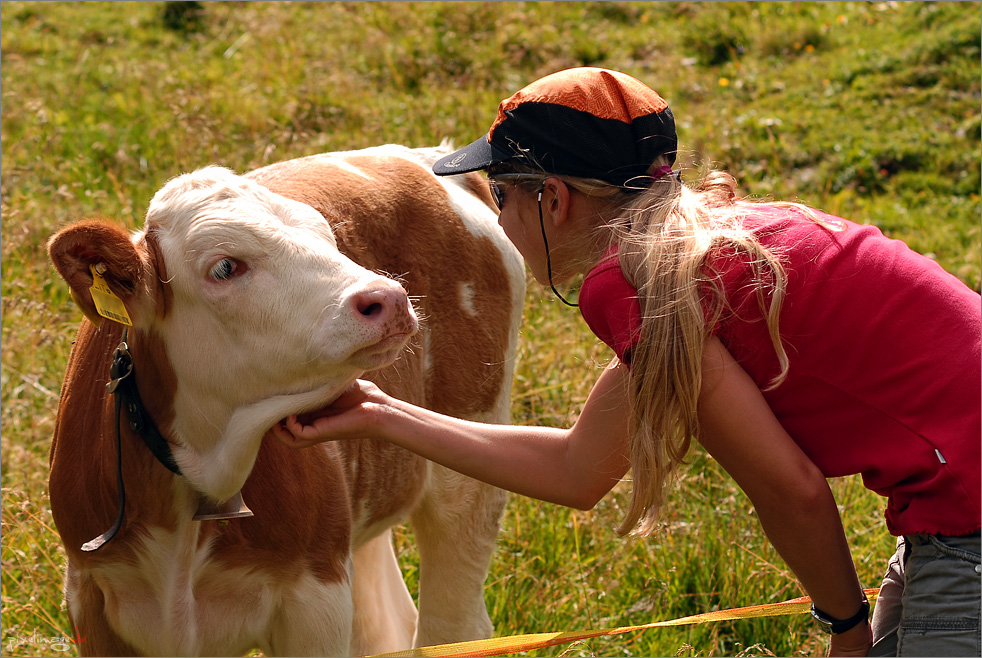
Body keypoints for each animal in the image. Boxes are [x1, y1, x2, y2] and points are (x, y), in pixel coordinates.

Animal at [46, 146, 528, 652]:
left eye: (328, 239)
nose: (390, 297)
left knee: (452, 625)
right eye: (225, 266)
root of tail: (418, 156)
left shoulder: (315, 597)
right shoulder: (87, 596)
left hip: (470, 461)